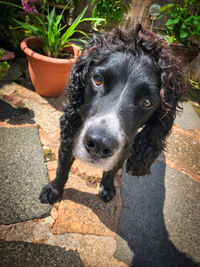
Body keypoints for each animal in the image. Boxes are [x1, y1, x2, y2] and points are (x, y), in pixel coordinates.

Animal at [39, 25, 185, 205]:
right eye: (98, 80)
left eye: (147, 102)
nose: (99, 144)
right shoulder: (70, 136)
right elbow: (62, 168)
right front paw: (54, 190)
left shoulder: (126, 146)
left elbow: (112, 169)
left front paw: (107, 188)